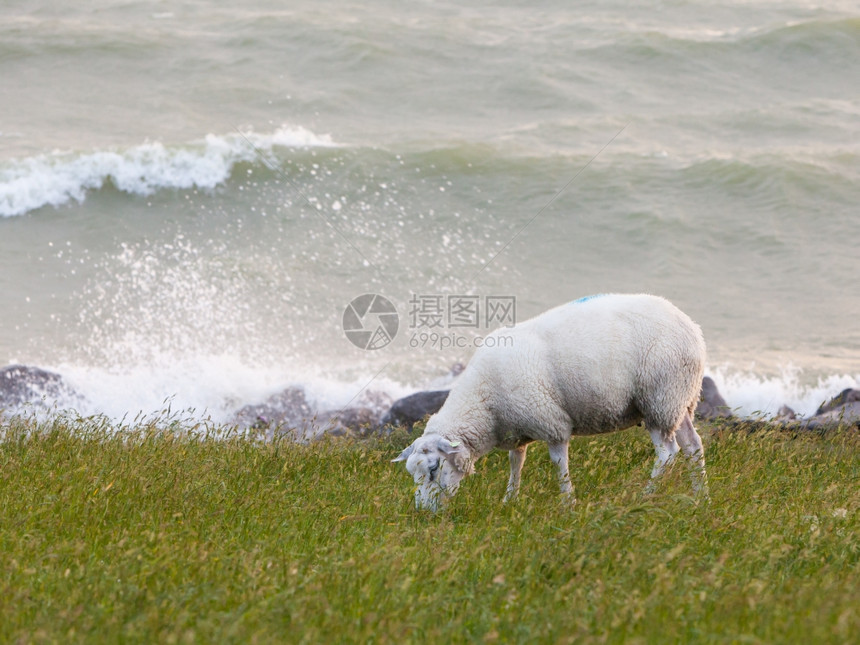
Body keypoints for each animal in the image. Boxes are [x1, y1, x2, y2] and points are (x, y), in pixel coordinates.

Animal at [394, 292, 708, 508]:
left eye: (433, 469)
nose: (423, 513)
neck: (484, 404)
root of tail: (693, 329)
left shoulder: (551, 422)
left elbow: (559, 466)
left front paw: (568, 504)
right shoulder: (516, 428)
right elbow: (515, 464)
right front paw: (509, 500)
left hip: (660, 398)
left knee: (668, 453)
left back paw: (644, 496)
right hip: (680, 400)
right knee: (693, 446)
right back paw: (700, 497)